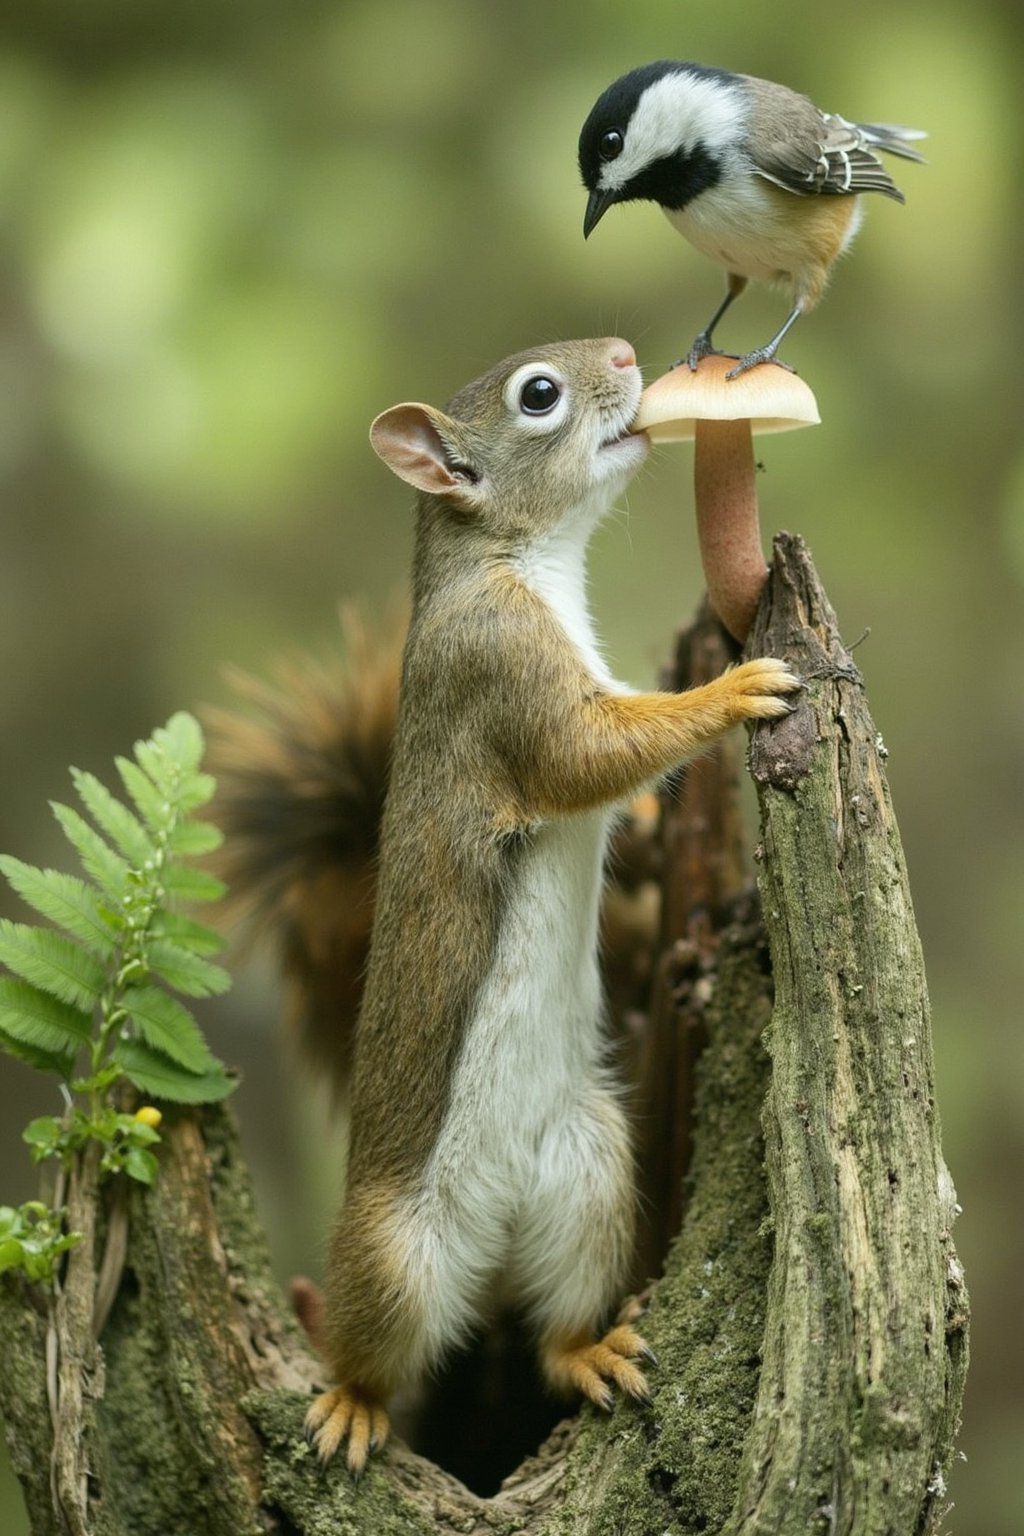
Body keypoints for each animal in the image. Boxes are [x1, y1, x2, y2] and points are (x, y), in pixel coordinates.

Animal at [210, 339, 798, 1474]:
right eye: (538, 395)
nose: (625, 352)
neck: (523, 564)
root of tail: (489, 1250)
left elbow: (623, 794)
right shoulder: (502, 676)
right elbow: (591, 756)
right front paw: (733, 689)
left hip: (592, 1180)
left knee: (554, 1324)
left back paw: (588, 1350)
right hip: (392, 1252)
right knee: (372, 1349)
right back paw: (351, 1403)